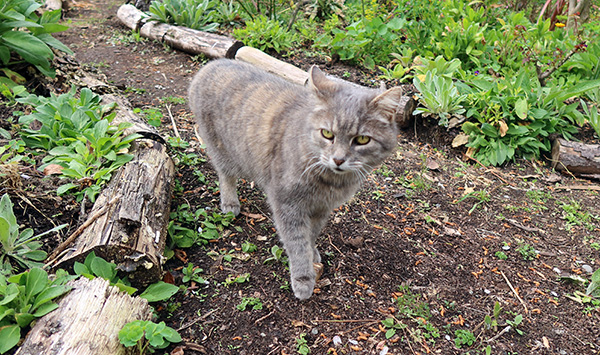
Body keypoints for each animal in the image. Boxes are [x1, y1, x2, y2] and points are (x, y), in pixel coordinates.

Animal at [188, 59, 404, 300]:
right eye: (327, 134)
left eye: (363, 139)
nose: (338, 159)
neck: (330, 182)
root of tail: (213, 63)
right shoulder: (288, 205)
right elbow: (297, 243)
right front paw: (303, 278)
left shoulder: (321, 208)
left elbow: (311, 234)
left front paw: (313, 253)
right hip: (221, 148)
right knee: (226, 175)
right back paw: (230, 203)